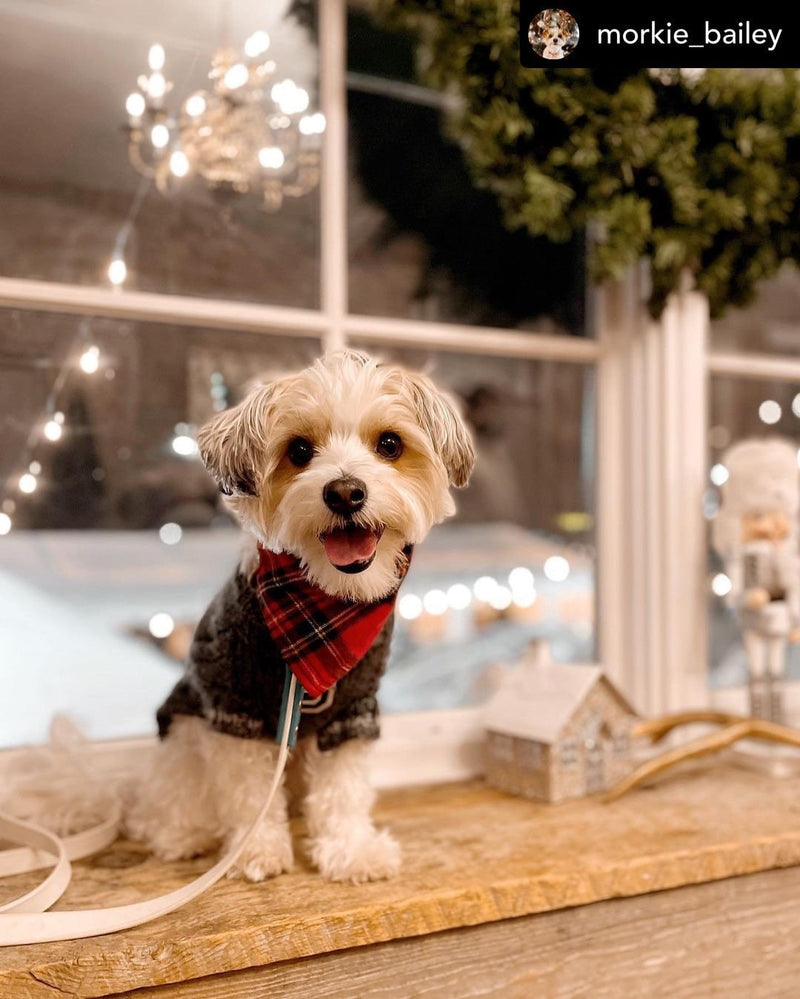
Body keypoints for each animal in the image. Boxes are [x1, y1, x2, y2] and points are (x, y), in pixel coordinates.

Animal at [126, 350, 476, 884]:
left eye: (390, 444)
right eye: (299, 450)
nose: (346, 492)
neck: (325, 608)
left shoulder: (353, 714)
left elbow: (343, 791)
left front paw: (351, 850)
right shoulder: (237, 710)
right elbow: (249, 794)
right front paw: (255, 850)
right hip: (184, 736)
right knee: (167, 800)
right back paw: (182, 835)